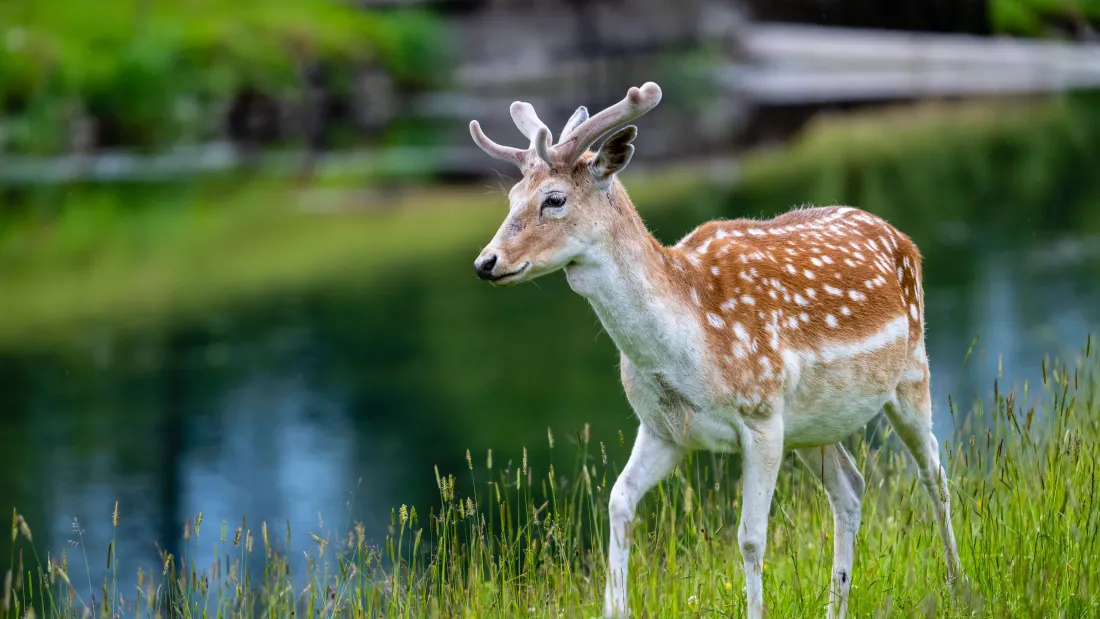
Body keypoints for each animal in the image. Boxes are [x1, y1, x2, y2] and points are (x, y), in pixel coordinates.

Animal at [464, 82, 963, 619]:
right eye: (511, 197)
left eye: (554, 199)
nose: (486, 262)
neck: (690, 345)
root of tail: (904, 239)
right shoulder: (663, 428)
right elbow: (618, 501)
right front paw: (615, 607)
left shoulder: (761, 414)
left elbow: (750, 537)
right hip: (815, 424)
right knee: (850, 489)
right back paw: (839, 606)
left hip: (912, 372)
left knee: (934, 471)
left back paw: (958, 586)